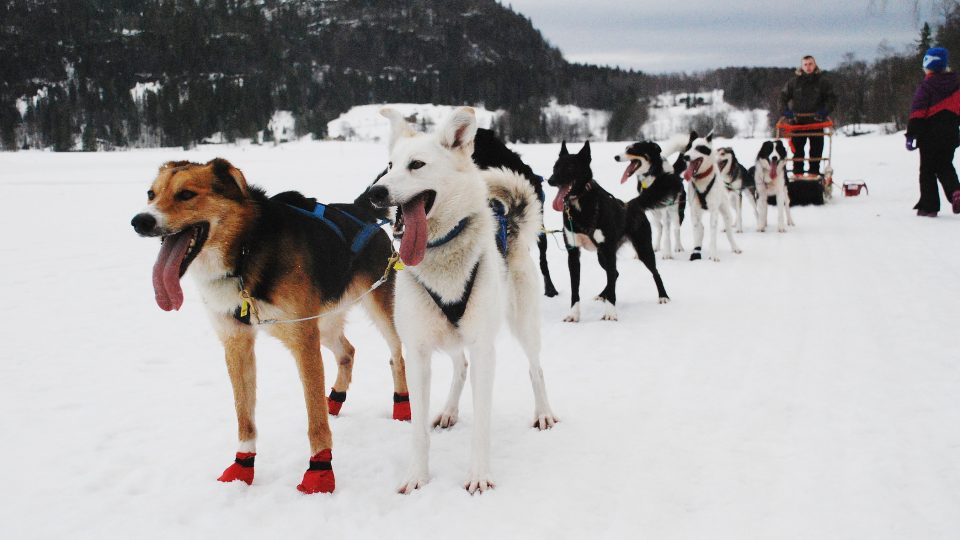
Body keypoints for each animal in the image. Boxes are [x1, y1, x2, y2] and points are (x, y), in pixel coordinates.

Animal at [131, 159, 408, 494]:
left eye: (186, 194)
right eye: (151, 194)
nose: (140, 221)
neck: (245, 253)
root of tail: (359, 209)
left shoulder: (303, 341)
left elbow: (314, 421)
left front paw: (320, 472)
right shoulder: (237, 343)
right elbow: (244, 417)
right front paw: (242, 467)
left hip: (380, 312)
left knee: (397, 356)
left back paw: (402, 406)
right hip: (324, 323)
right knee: (348, 351)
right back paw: (334, 399)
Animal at [370, 107, 564, 496]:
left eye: (416, 164)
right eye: (389, 165)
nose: (376, 192)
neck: (440, 255)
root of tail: (510, 221)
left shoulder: (483, 347)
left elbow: (482, 426)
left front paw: (478, 475)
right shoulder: (417, 352)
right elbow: (417, 431)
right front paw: (417, 475)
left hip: (522, 324)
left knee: (535, 368)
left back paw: (543, 413)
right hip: (448, 336)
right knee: (460, 366)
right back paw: (448, 410)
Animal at [544, 141, 672, 322]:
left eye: (570, 167)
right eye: (555, 167)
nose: (551, 180)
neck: (580, 206)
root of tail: (631, 204)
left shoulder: (609, 251)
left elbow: (612, 286)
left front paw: (610, 313)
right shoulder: (573, 253)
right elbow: (575, 289)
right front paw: (573, 314)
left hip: (642, 249)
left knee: (654, 273)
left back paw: (663, 296)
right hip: (601, 256)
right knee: (615, 274)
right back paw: (602, 294)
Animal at [676, 131, 744, 262]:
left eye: (698, 148)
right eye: (688, 147)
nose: (685, 156)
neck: (702, 178)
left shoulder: (714, 211)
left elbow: (713, 234)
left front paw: (713, 254)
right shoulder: (694, 211)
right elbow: (697, 232)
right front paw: (696, 252)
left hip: (725, 212)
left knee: (729, 232)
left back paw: (735, 247)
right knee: (701, 228)